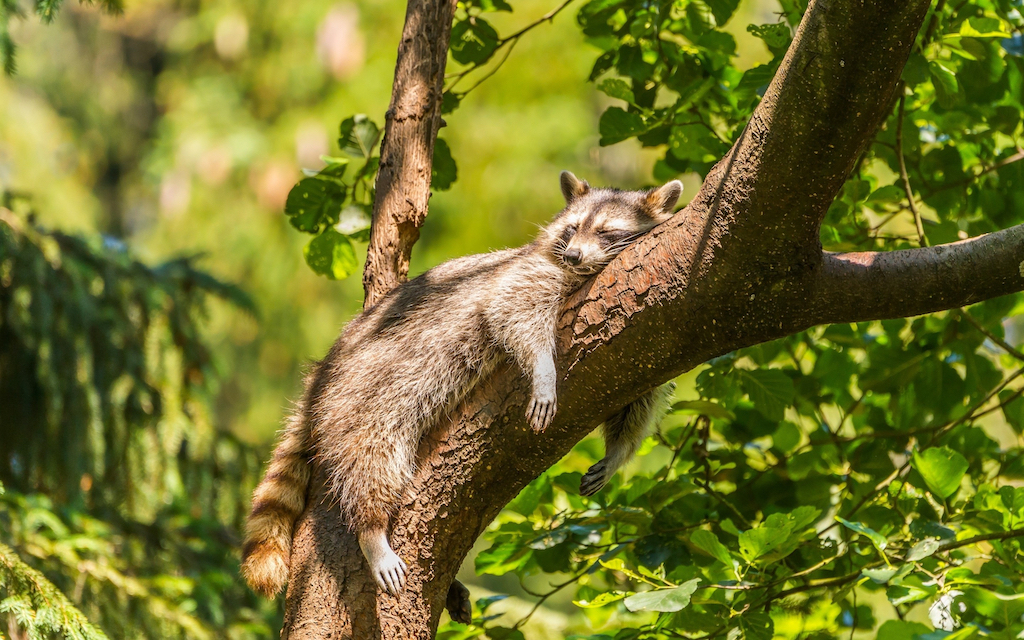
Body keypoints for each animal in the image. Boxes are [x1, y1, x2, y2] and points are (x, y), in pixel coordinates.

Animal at [241, 171, 679, 598]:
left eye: (606, 232)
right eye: (572, 229)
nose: (573, 254)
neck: (579, 270)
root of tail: (324, 369)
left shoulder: (642, 333)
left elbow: (642, 392)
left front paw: (619, 451)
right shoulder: (527, 274)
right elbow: (511, 310)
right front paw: (544, 371)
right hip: (363, 389)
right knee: (372, 452)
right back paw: (371, 527)